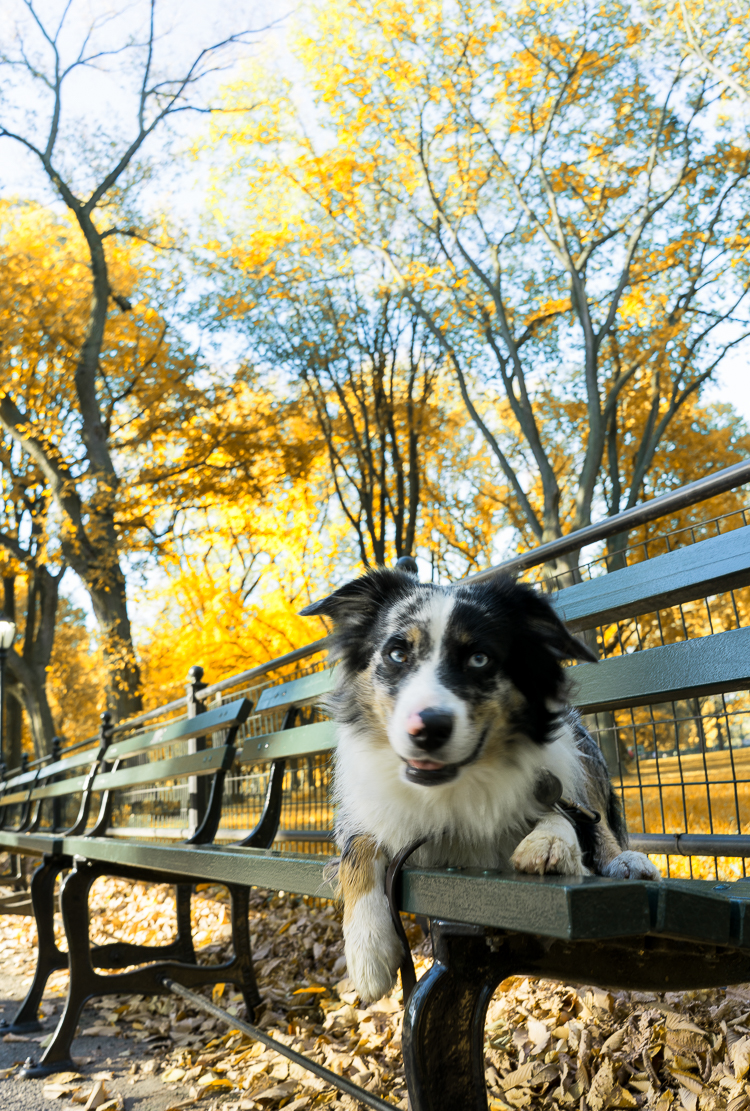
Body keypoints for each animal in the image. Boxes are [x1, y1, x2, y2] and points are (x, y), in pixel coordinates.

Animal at [300, 568, 662, 1004]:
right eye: (397, 654)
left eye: (479, 658)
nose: (427, 729)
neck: (451, 790)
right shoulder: (367, 813)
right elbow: (359, 850)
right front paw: (367, 949)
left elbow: (559, 812)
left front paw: (550, 843)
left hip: (579, 741)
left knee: (594, 816)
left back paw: (624, 860)